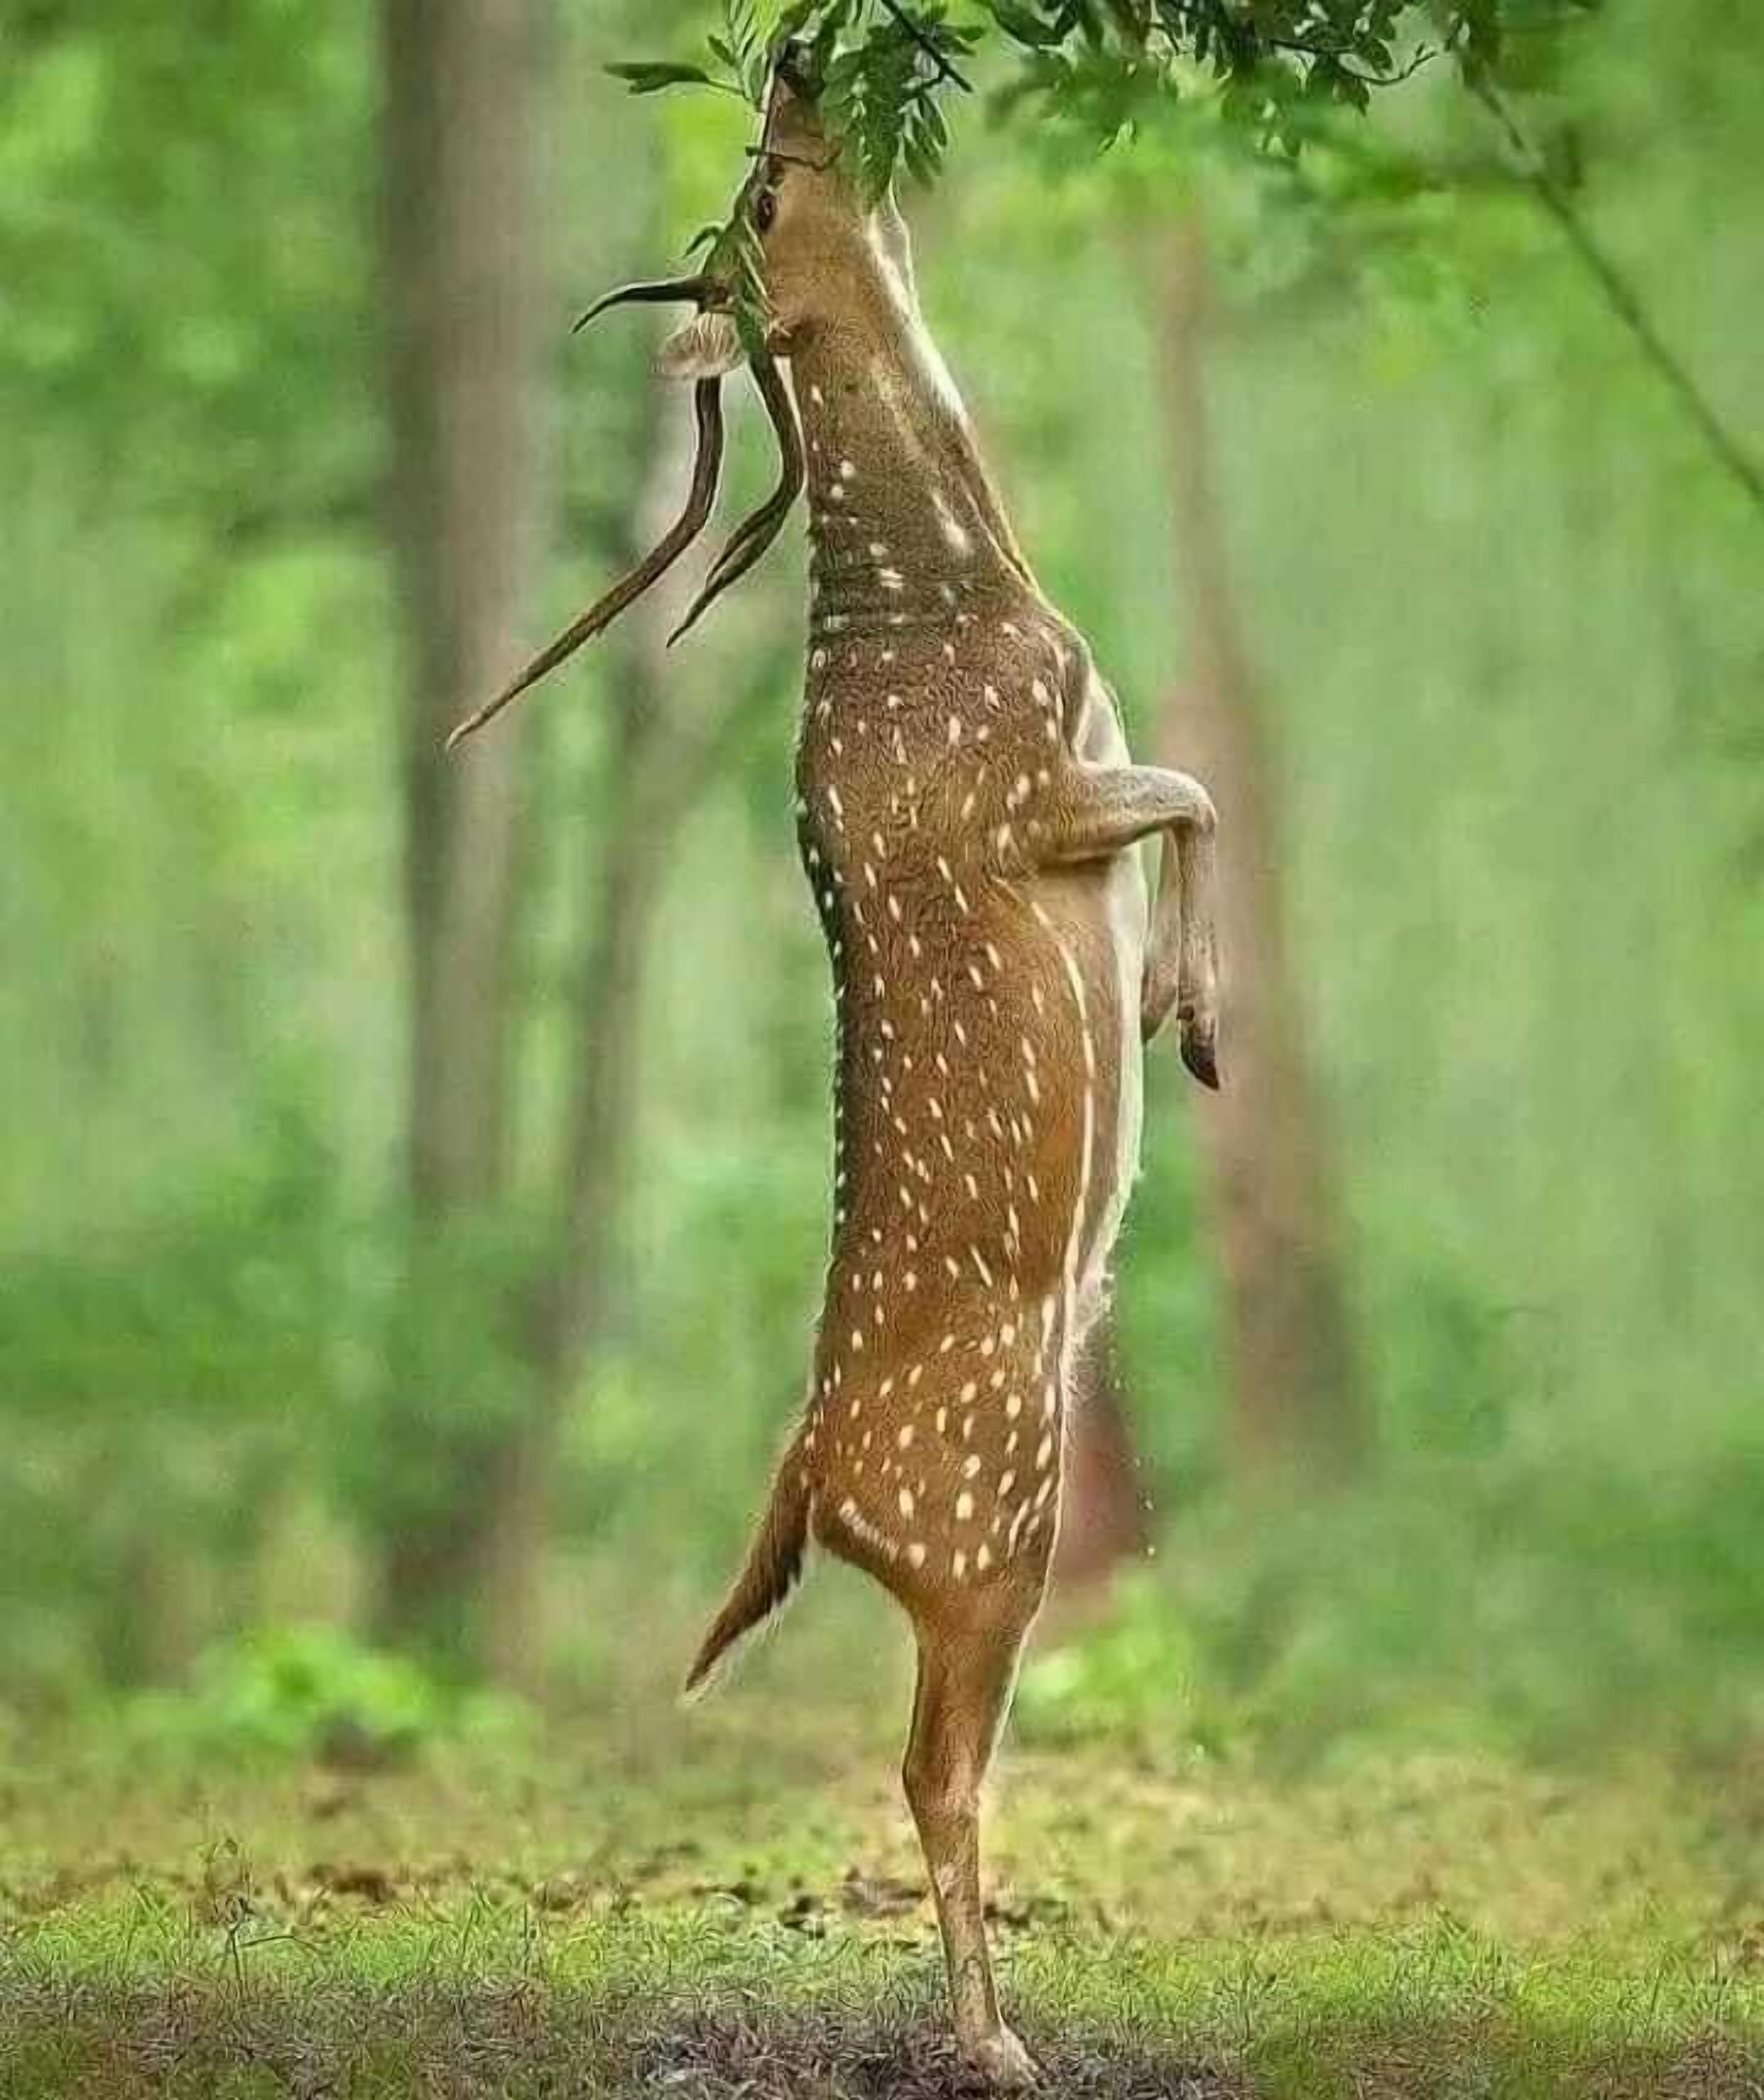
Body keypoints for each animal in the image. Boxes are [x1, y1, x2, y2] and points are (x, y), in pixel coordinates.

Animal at [449, 46, 1221, 2089]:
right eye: (759, 198)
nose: (800, 58)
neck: (966, 589)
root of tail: (808, 1482)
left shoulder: (1083, 744)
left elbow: (1186, 792)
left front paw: (1174, 1013)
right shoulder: (1024, 791)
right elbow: (1194, 787)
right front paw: (1190, 1016)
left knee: (926, 1761)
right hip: (996, 1508)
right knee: (935, 1764)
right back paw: (993, 2038)